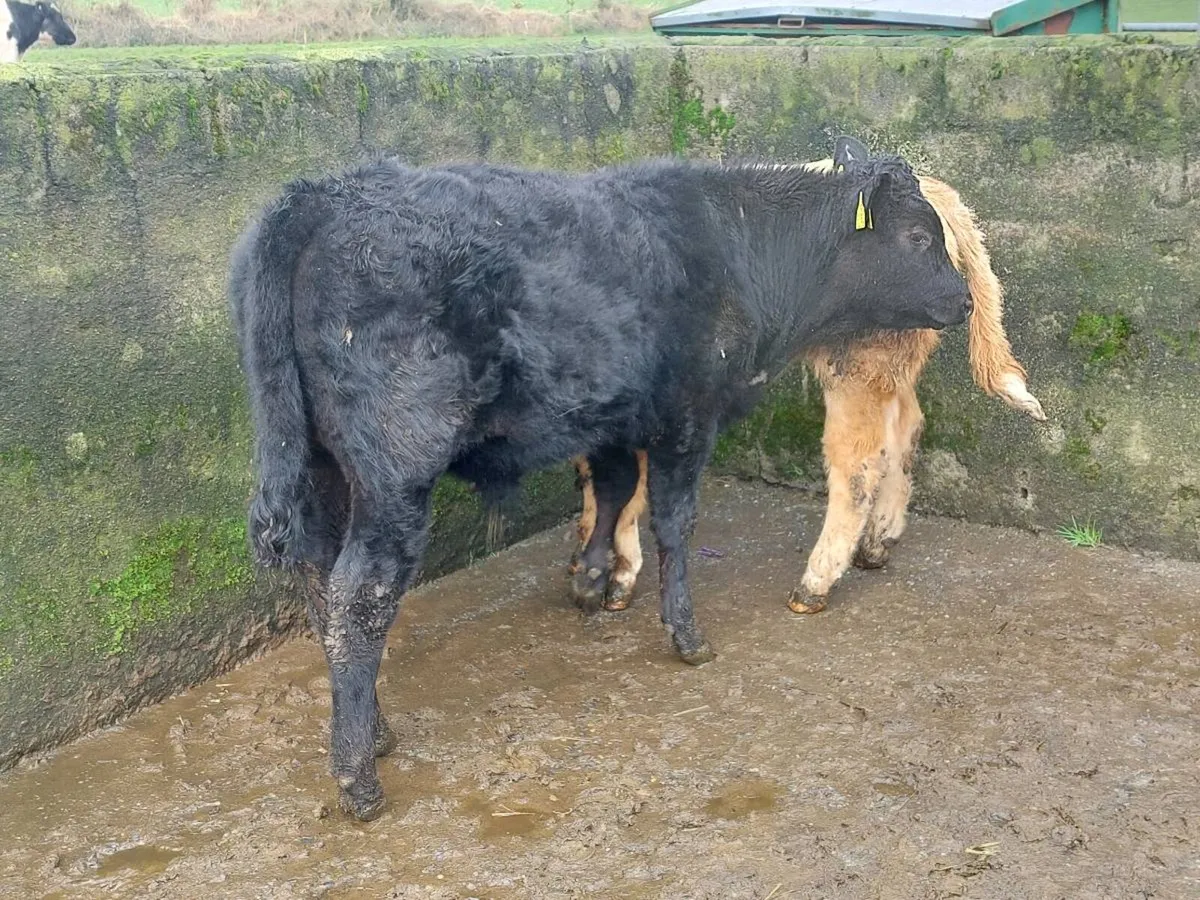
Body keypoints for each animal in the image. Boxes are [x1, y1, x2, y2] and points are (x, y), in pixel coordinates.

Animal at [228, 139, 972, 820]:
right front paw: (686, 635)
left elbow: (612, 489)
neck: (735, 242)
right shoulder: (687, 413)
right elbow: (673, 519)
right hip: (394, 469)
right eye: (916, 236)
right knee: (361, 596)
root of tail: (323, 195)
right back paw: (359, 779)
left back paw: (375, 731)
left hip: (323, 464)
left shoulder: (614, 411)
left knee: (321, 584)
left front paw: (591, 579)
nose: (963, 298)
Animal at [568, 135, 1046, 618]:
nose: (964, 302)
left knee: (858, 461)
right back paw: (877, 543)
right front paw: (590, 560)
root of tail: (941, 192)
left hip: (858, 365)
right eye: (917, 237)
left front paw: (615, 574)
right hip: (886, 362)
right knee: (905, 428)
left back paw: (815, 583)